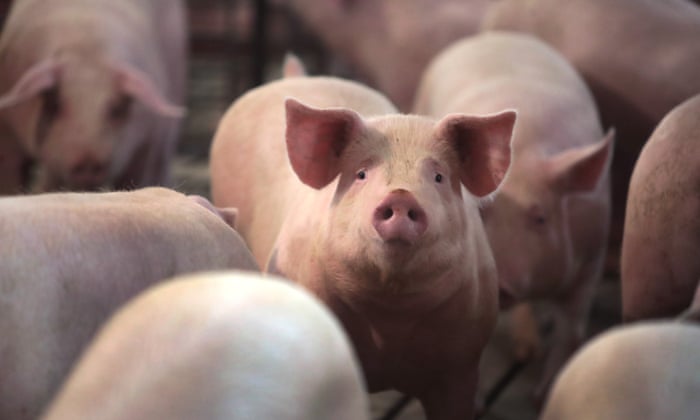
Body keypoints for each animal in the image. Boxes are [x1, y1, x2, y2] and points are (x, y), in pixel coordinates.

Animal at [0, 0, 187, 194]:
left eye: (115, 109)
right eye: (57, 104)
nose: (88, 161)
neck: (87, 49)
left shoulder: (147, 142)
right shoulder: (6, 132)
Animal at [414, 31, 614, 399]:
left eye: (541, 218)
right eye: (480, 215)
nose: (502, 283)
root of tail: (491, 36)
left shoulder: (593, 253)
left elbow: (572, 331)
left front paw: (542, 396)